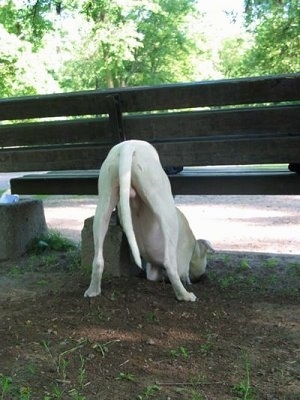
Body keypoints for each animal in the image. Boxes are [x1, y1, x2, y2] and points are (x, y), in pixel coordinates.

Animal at [83, 140, 212, 300]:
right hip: (162, 203)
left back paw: (93, 291)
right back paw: (184, 295)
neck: (194, 247)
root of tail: (128, 146)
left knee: (98, 259)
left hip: (104, 199)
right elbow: (182, 274)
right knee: (170, 264)